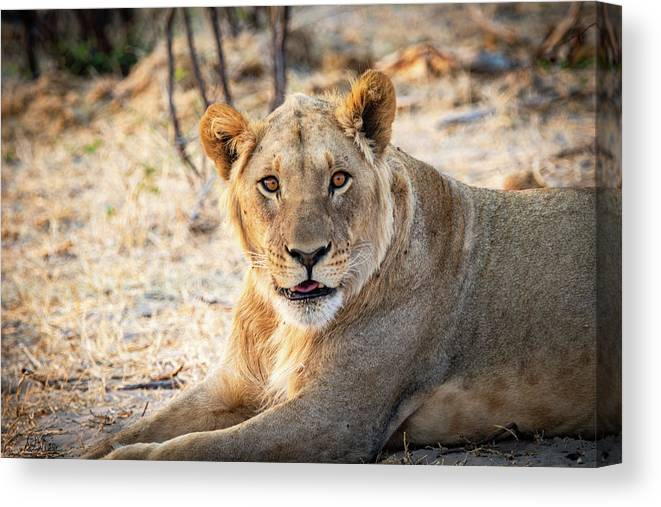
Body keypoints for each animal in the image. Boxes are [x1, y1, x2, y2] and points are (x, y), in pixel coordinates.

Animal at [85, 70, 620, 464]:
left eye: (339, 179)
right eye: (270, 184)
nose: (307, 255)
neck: (283, 324)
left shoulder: (336, 417)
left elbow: (204, 447)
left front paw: (127, 462)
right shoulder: (237, 383)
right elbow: (142, 427)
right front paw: (93, 452)